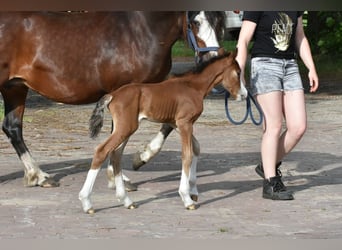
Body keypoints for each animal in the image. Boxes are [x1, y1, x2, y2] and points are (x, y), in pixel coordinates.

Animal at [0, 11, 227, 188]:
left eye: (219, 22)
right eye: (195, 22)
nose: (212, 60)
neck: (141, 32)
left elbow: (165, 125)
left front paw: (140, 158)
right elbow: (118, 137)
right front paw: (120, 176)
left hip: (15, 87)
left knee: (12, 127)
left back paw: (38, 176)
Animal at [79, 50, 247, 213]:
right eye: (238, 72)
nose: (244, 95)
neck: (193, 87)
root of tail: (112, 95)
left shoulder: (177, 124)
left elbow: (196, 148)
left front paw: (194, 192)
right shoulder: (185, 123)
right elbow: (187, 155)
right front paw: (187, 199)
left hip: (125, 129)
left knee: (116, 155)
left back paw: (127, 201)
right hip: (126, 128)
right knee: (102, 151)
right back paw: (87, 202)